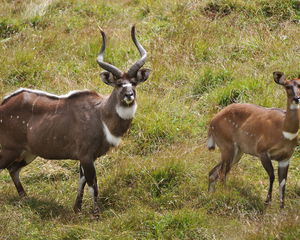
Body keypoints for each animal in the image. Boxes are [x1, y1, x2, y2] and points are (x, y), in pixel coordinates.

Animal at [0, 25, 150, 214]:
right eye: (118, 84)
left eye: (134, 83)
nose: (129, 95)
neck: (101, 116)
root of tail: (3, 105)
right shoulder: (86, 155)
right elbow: (93, 184)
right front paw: (95, 214)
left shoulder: (86, 157)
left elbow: (82, 181)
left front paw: (77, 209)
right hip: (9, 149)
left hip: (29, 153)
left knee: (13, 169)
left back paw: (25, 198)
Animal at [209, 71, 300, 208]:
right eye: (288, 86)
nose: (296, 98)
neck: (285, 131)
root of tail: (211, 123)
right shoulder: (262, 151)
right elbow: (272, 176)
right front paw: (267, 201)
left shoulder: (285, 157)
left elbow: (283, 182)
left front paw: (282, 207)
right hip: (227, 146)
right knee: (222, 173)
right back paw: (224, 194)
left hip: (238, 152)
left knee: (214, 172)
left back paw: (212, 194)